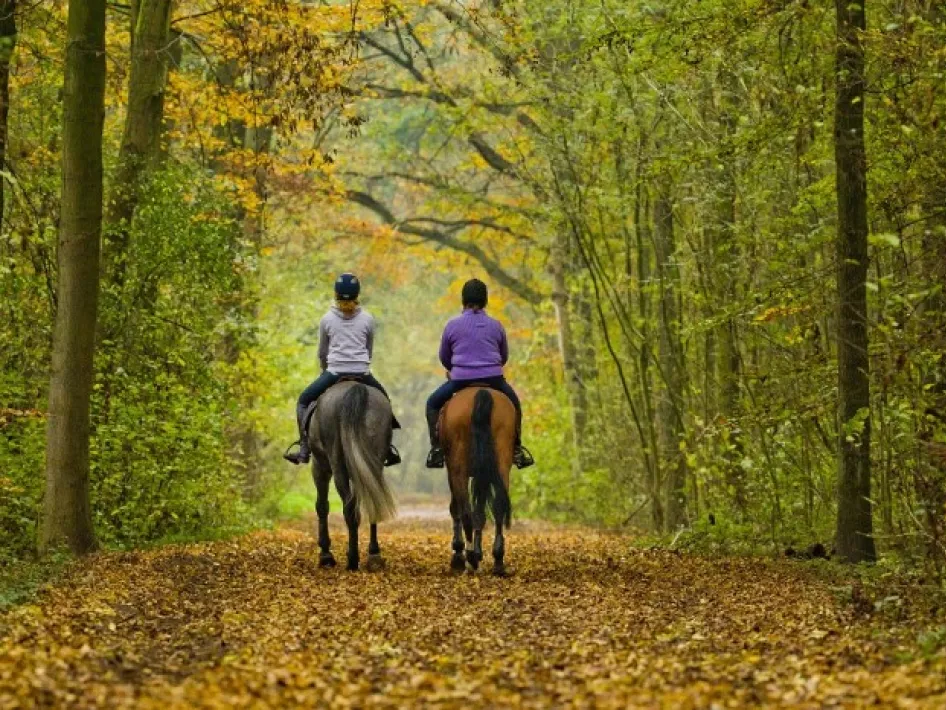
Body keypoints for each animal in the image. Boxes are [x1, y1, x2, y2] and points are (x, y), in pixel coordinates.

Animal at [308, 381, 397, 571]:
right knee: (371, 501)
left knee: (349, 508)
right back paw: (374, 555)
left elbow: (322, 506)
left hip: (336, 465)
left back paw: (353, 560)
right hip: (371, 462)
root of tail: (356, 388)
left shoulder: (319, 467)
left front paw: (325, 554)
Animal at [440, 387, 514, 576]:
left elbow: (456, 508)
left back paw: (469, 558)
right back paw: (498, 560)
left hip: (458, 467)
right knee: (498, 506)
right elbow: (480, 510)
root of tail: (481, 391)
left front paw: (459, 553)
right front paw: (480, 552)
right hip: (502, 461)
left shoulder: (452, 470)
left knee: (465, 510)